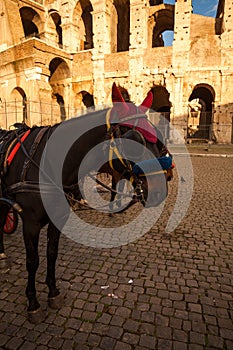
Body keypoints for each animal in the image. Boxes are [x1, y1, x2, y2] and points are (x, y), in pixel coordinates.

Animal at [0, 83, 173, 324]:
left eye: (158, 139)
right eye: (134, 140)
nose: (160, 189)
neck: (47, 162)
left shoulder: (58, 219)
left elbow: (52, 253)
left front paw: (53, 292)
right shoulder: (30, 224)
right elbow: (33, 261)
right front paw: (33, 303)